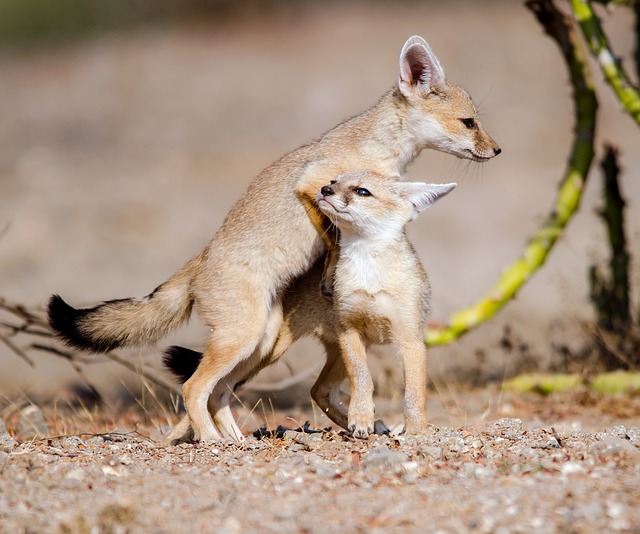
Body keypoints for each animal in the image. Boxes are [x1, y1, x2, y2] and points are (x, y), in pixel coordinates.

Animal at [165, 171, 456, 444]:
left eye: (362, 191)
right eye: (334, 181)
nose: (325, 189)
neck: (369, 274)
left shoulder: (410, 339)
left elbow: (413, 393)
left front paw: (415, 432)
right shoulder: (350, 331)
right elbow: (363, 378)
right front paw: (362, 417)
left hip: (269, 351)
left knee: (312, 390)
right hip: (258, 349)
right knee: (200, 388)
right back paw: (209, 437)